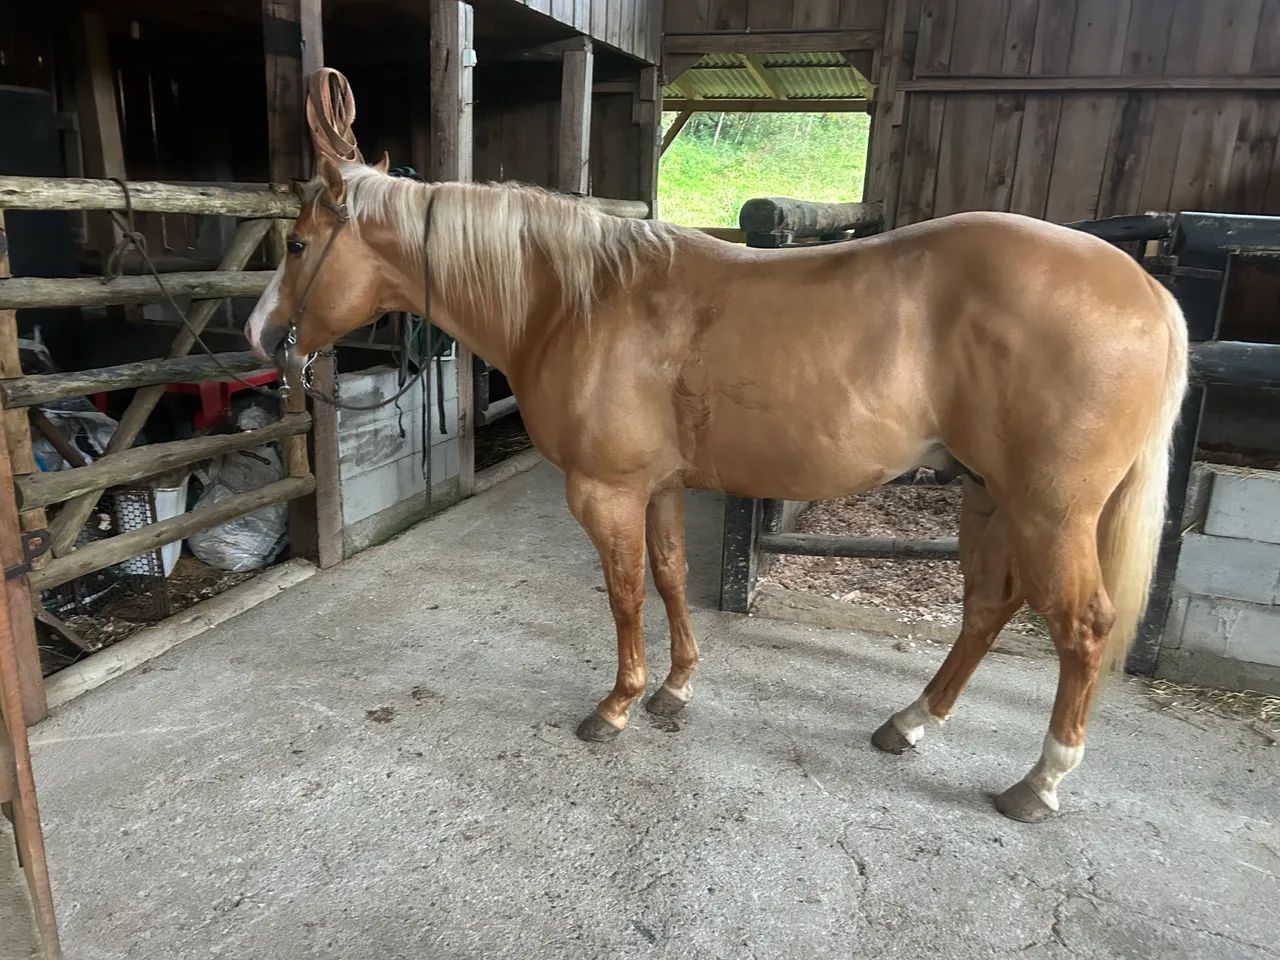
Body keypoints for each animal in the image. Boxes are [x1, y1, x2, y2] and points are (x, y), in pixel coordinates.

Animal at [245, 154, 1187, 823]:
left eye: (296, 245)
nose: (260, 335)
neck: (577, 303)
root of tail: (1146, 289)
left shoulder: (605, 493)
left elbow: (625, 594)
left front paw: (618, 705)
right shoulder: (658, 488)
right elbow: (667, 579)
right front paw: (675, 688)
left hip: (1049, 510)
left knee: (1081, 627)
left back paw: (1040, 782)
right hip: (989, 495)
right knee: (988, 607)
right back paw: (912, 722)